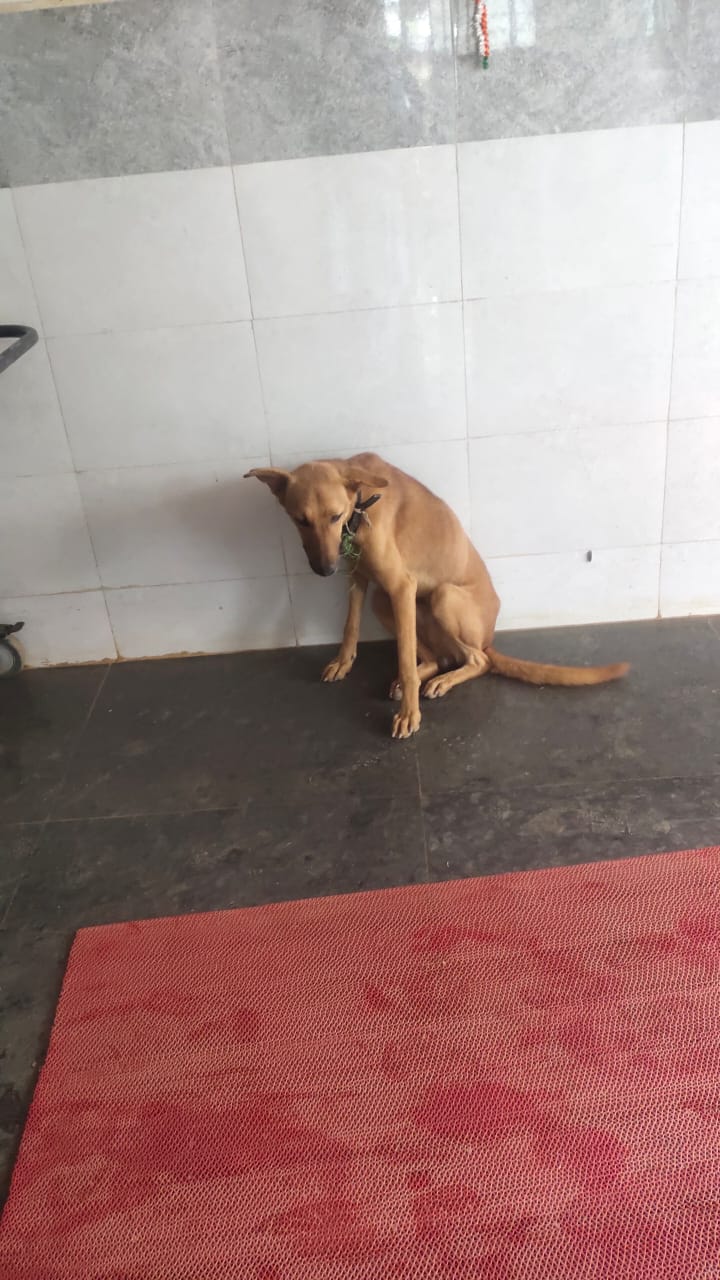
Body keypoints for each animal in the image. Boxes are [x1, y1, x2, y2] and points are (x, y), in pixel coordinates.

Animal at [243, 455, 625, 742]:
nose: (325, 570)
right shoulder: (360, 577)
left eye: (334, 516)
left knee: (475, 661)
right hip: (387, 602)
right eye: (300, 520)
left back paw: (440, 679)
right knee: (437, 657)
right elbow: (350, 626)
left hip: (442, 597)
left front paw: (409, 715)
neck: (362, 501)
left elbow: (403, 657)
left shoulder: (401, 585)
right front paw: (343, 662)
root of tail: (489, 640)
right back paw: (421, 674)